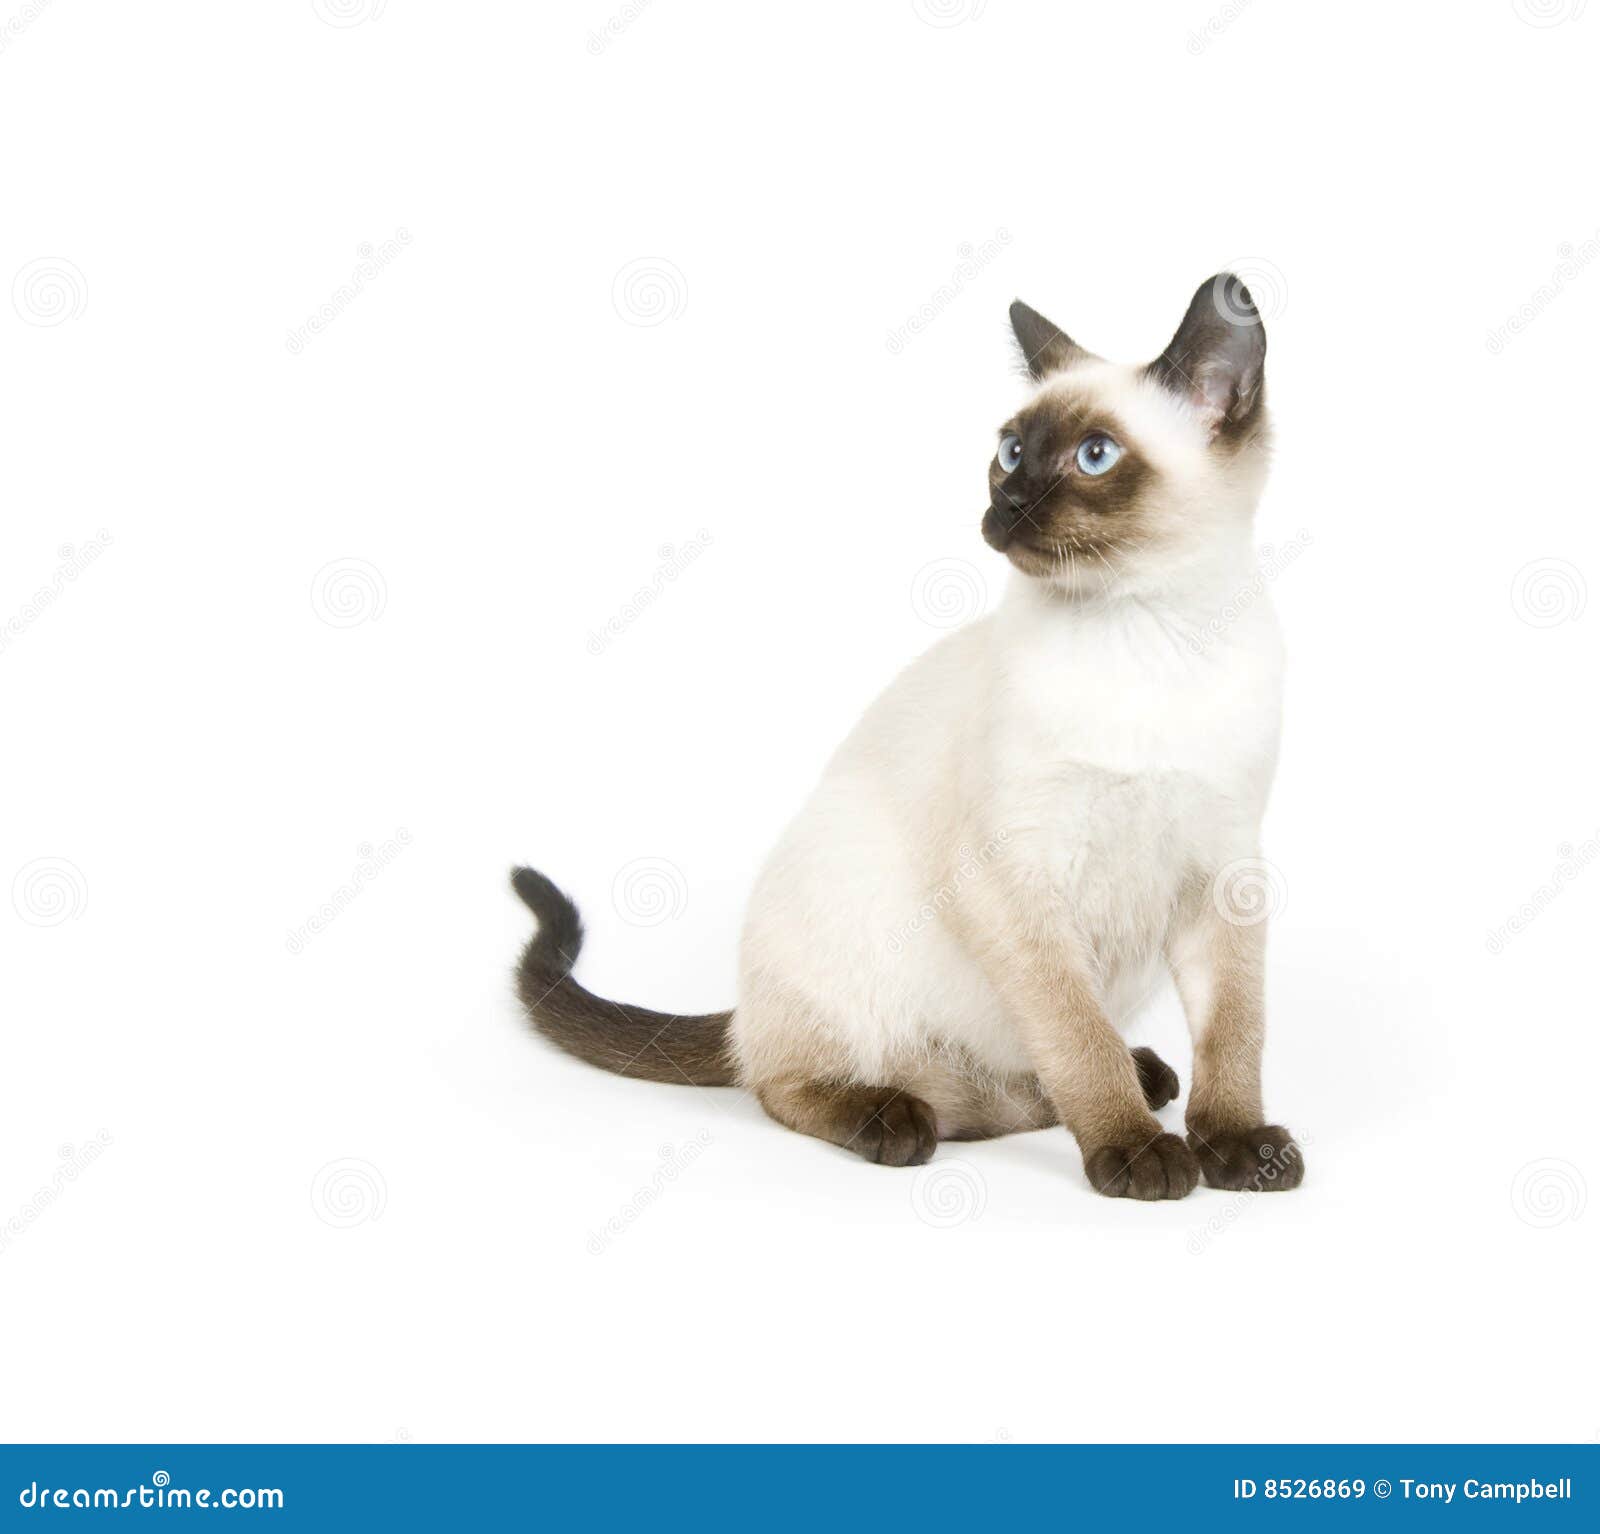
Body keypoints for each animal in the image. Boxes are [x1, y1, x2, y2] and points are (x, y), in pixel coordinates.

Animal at [512, 278, 1299, 1209]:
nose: (1004, 506)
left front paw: (1237, 1146)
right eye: (1009, 453)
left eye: (1095, 456)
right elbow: (1078, 1039)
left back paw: (1143, 1083)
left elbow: (1231, 1036)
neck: (1149, 632)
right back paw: (896, 1119)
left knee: (1015, 1088)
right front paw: (1137, 1153)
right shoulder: (1013, 881)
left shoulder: (1224, 872)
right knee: (797, 1082)